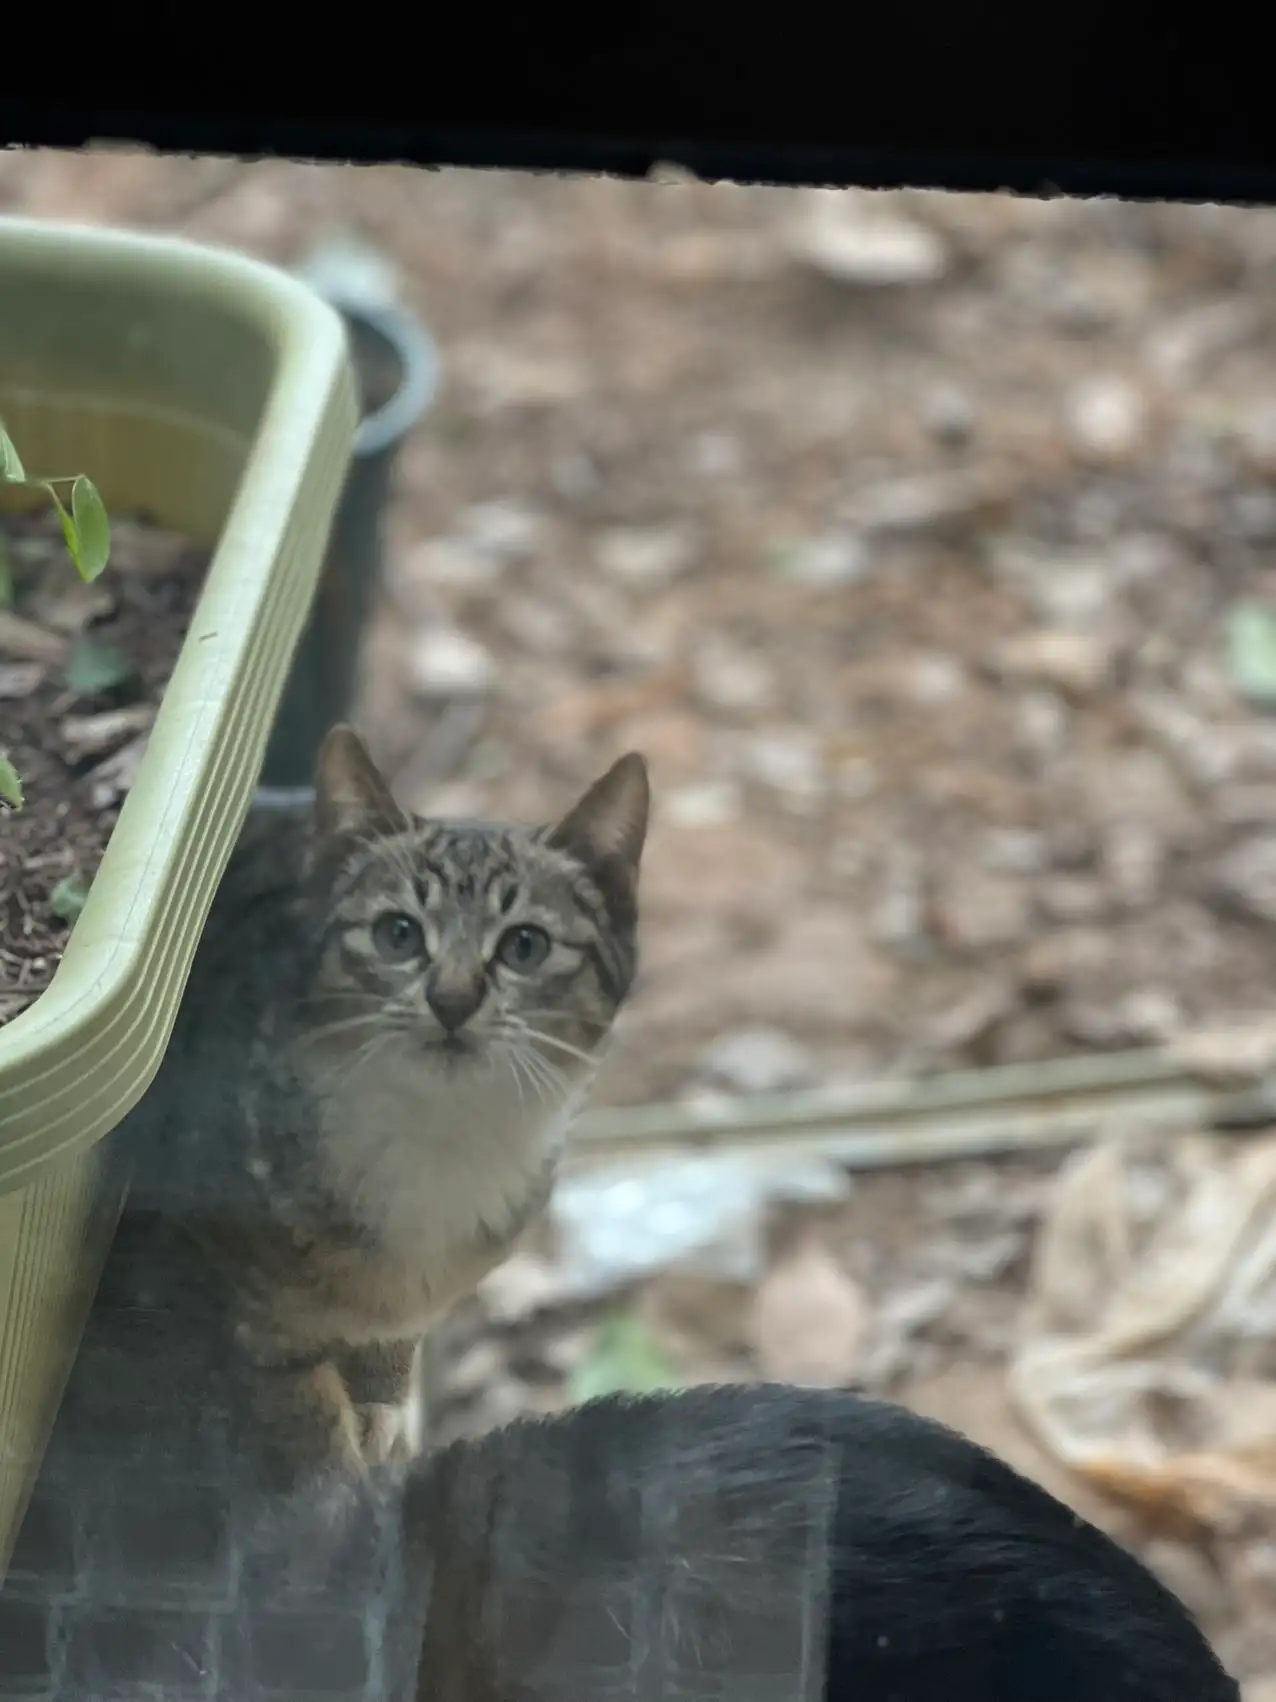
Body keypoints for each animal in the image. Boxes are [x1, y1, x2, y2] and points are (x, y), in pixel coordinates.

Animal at [116, 725, 653, 1497]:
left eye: (525, 945)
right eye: (398, 934)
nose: (452, 1000)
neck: (438, 1142)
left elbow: (390, 1337)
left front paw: (382, 1399)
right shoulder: (241, 1307)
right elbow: (302, 1424)